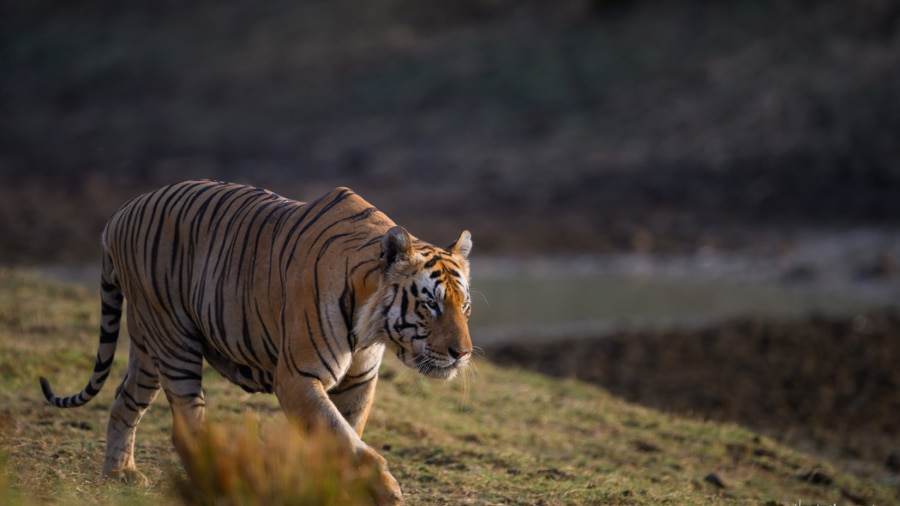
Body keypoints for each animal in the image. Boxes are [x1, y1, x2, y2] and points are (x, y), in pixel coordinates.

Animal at [38, 180, 474, 505]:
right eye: (431, 305)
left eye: (464, 305)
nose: (463, 354)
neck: (370, 326)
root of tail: (120, 213)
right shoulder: (297, 376)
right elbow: (340, 436)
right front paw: (386, 491)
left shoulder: (359, 382)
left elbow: (343, 437)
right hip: (174, 341)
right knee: (185, 425)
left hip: (147, 346)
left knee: (124, 399)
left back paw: (120, 474)